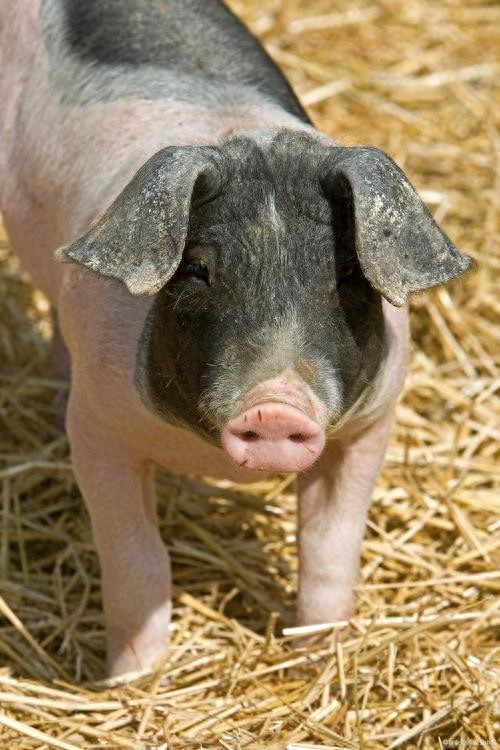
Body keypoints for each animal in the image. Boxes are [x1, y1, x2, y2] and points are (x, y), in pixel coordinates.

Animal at [0, 0, 472, 677]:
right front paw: (131, 682)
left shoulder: (370, 427)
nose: (274, 406)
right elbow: (137, 561)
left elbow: (328, 551)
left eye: (347, 273)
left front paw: (315, 660)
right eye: (198, 270)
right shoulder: (99, 429)